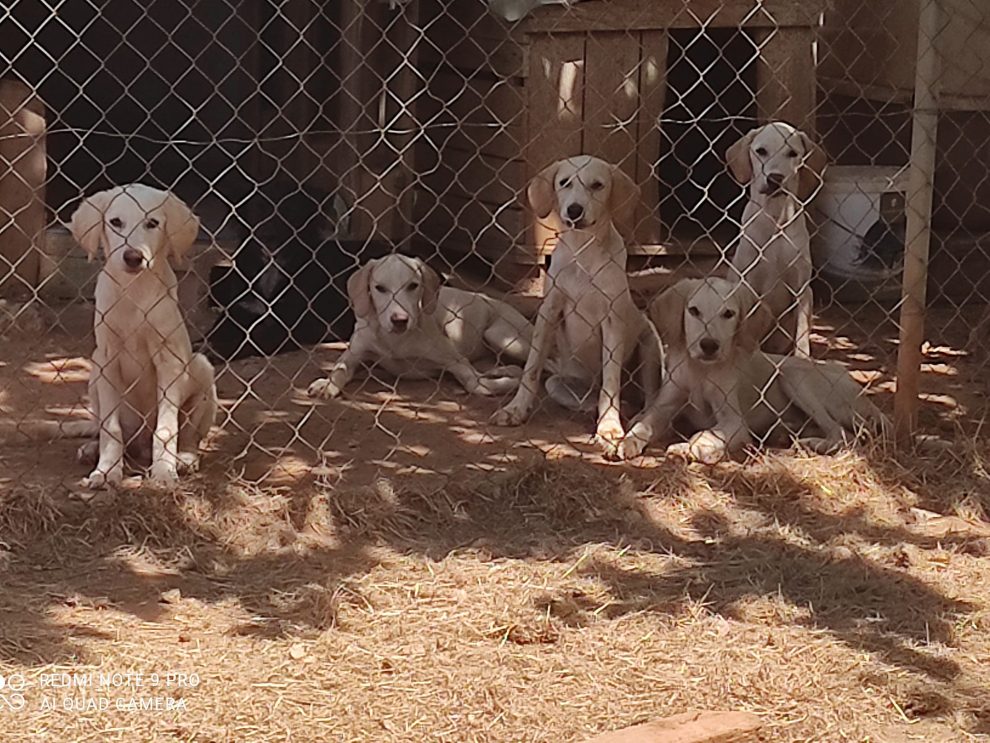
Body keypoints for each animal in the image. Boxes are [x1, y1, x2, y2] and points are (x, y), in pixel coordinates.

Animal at [308, 253, 536, 398]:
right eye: (380, 288)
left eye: (413, 286)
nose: (400, 320)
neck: (396, 341)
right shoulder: (355, 352)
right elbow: (339, 369)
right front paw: (327, 384)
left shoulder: (456, 360)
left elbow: (476, 384)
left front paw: (510, 384)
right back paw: (502, 369)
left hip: (500, 336)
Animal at [620, 278, 892, 462]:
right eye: (694, 311)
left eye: (728, 314)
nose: (709, 345)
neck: (701, 371)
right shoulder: (664, 406)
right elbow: (643, 424)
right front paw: (627, 441)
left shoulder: (734, 421)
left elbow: (708, 432)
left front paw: (690, 448)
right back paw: (786, 433)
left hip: (792, 375)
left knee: (843, 434)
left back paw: (813, 443)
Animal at [728, 121, 828, 358]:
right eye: (761, 151)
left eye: (792, 153)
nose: (775, 178)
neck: (775, 219)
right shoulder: (749, 285)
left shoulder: (801, 289)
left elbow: (801, 334)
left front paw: (802, 358)